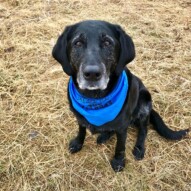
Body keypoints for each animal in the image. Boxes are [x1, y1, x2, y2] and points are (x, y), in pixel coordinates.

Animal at [51, 20, 188, 172]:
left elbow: (120, 146)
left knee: (143, 129)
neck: (94, 97)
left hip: (144, 100)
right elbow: (82, 130)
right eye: (78, 43)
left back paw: (139, 148)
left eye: (107, 42)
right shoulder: (80, 117)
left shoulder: (122, 127)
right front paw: (78, 143)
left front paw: (118, 161)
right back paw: (104, 135)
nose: (92, 74)